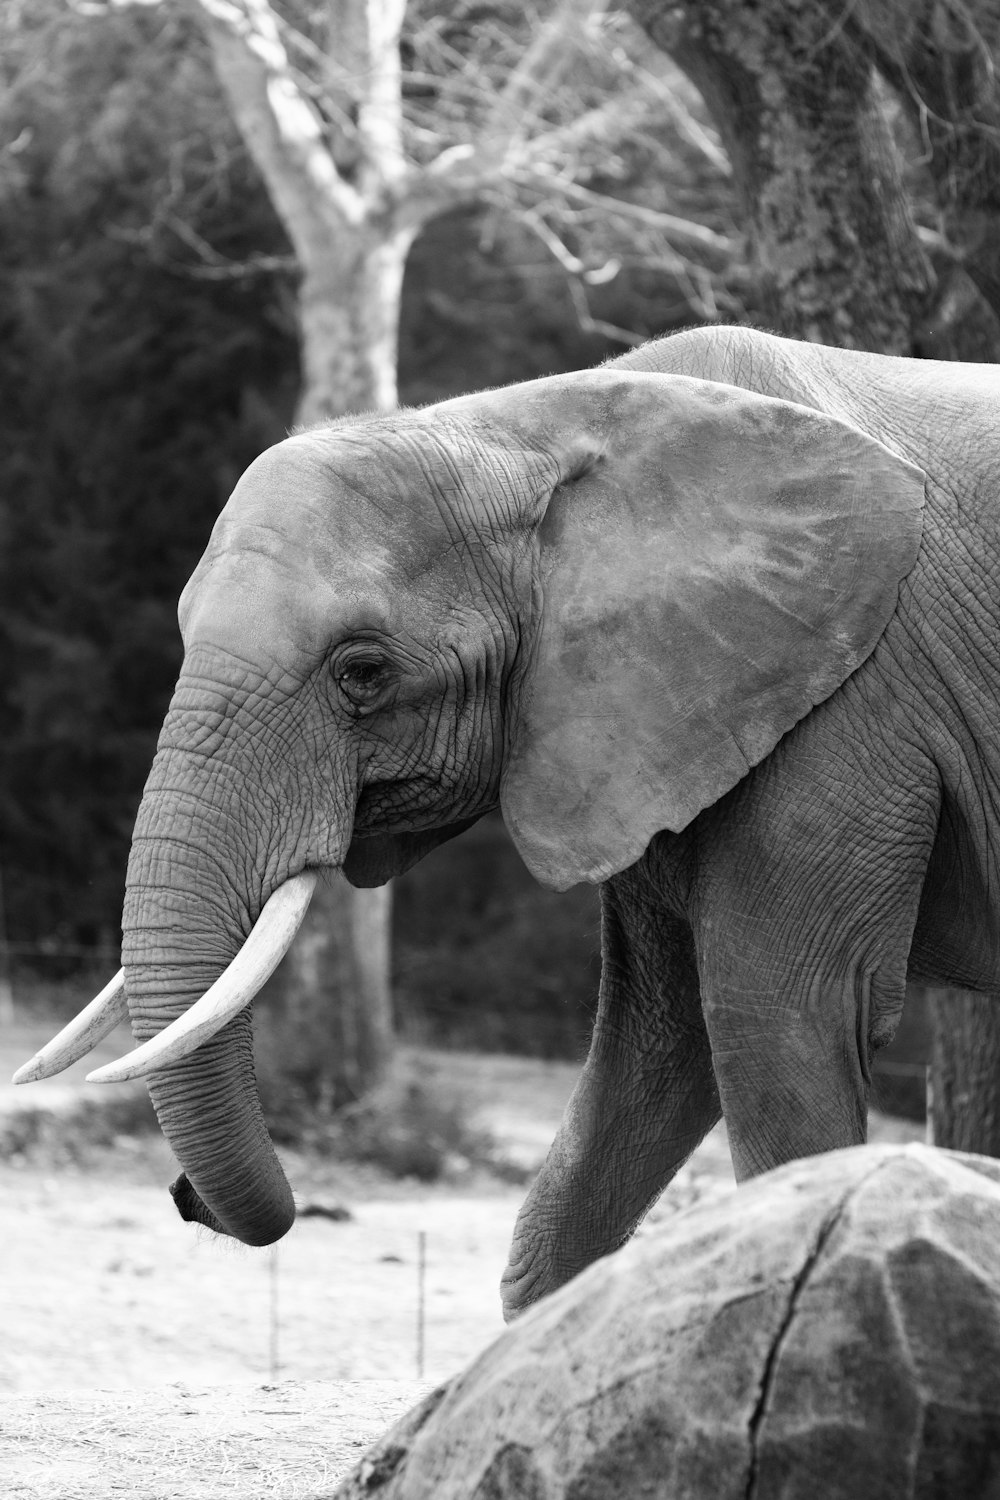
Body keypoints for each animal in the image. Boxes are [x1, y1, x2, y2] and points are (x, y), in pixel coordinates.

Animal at [13, 322, 1000, 1320]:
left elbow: (779, 1018)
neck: (528, 429)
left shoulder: (842, 710)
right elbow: (659, 1039)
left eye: (362, 672)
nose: (185, 1198)